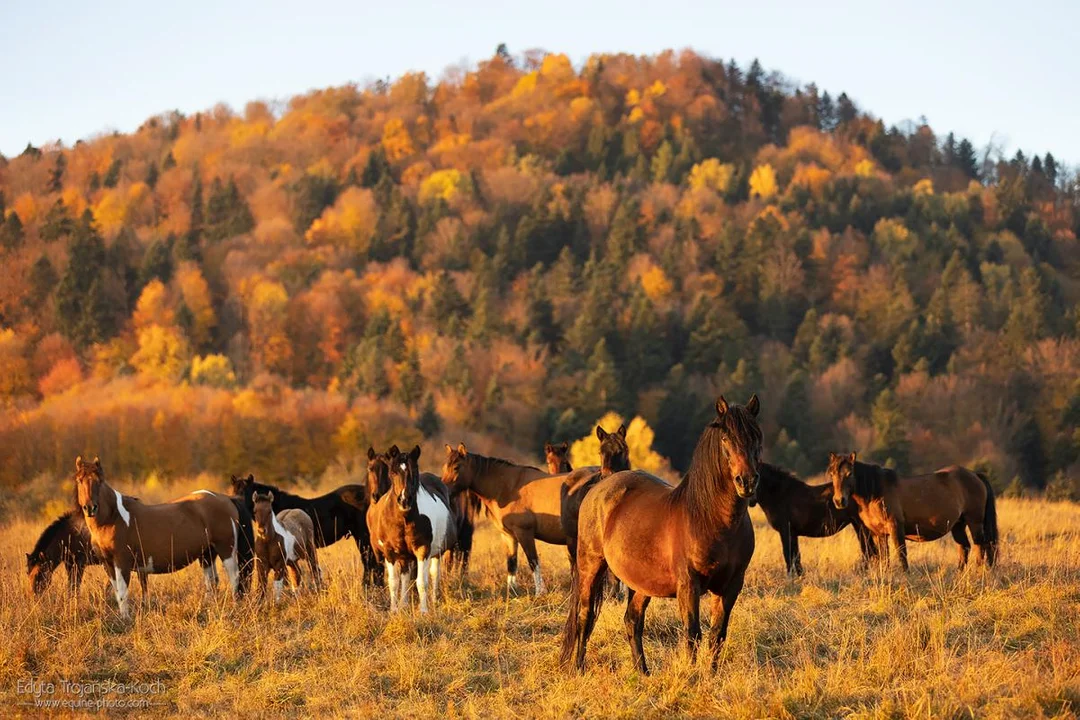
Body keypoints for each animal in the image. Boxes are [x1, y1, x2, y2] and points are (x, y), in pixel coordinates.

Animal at [72, 459, 241, 617]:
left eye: (99, 481)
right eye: (79, 480)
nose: (90, 508)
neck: (113, 518)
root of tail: (226, 499)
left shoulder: (121, 561)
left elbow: (122, 592)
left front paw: (125, 619)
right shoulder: (107, 563)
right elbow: (117, 591)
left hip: (226, 549)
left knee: (234, 578)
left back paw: (235, 607)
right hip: (207, 554)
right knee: (212, 582)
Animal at [440, 442, 587, 595]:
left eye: (456, 467)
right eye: (445, 467)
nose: (442, 489)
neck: (510, 488)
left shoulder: (524, 533)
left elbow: (533, 561)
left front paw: (540, 591)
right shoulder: (508, 535)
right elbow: (511, 562)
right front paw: (511, 589)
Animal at [561, 395, 764, 677]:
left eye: (756, 436)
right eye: (726, 438)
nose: (747, 482)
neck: (712, 519)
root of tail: (599, 487)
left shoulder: (732, 585)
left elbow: (717, 635)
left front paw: (711, 677)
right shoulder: (688, 585)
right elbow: (693, 634)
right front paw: (691, 677)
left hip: (641, 582)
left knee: (632, 620)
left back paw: (642, 673)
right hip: (590, 565)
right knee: (585, 615)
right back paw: (579, 669)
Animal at [829, 453, 997, 569]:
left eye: (849, 473)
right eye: (832, 474)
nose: (839, 501)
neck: (875, 491)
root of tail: (975, 475)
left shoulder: (895, 527)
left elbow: (901, 554)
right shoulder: (879, 533)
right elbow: (884, 557)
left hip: (974, 522)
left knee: (981, 546)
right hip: (958, 525)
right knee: (965, 547)